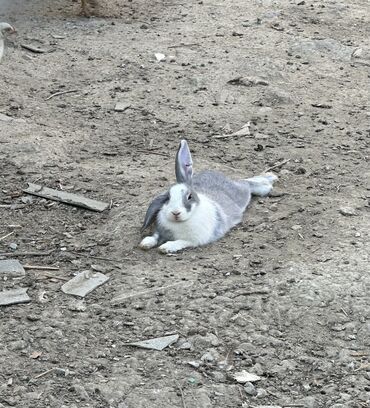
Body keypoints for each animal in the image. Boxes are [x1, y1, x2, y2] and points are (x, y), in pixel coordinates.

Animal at [139, 139, 278, 252]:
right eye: (168, 197)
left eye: (189, 197)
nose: (175, 213)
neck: (181, 222)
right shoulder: (159, 230)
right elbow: (155, 236)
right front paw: (145, 243)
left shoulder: (194, 240)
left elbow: (180, 242)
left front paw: (166, 247)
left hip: (241, 192)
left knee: (246, 184)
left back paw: (268, 182)